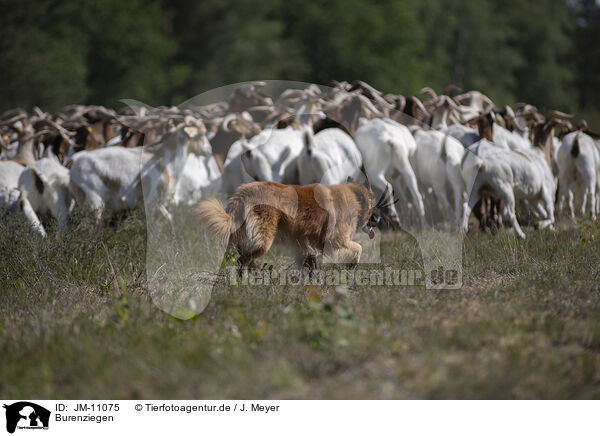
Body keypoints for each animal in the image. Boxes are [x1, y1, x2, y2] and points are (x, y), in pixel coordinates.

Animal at [197, 180, 378, 270]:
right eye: (372, 206)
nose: (378, 219)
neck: (351, 200)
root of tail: (243, 193)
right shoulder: (335, 241)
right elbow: (359, 247)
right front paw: (352, 263)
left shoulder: (303, 247)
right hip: (263, 241)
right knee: (243, 261)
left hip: (240, 241)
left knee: (237, 261)